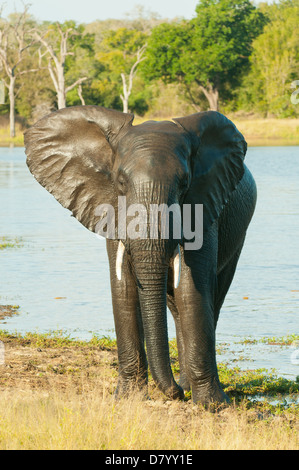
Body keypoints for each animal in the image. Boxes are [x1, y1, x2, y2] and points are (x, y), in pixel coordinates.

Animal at [24, 105, 258, 404]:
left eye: (184, 184)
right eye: (121, 183)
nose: (175, 393)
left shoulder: (205, 206)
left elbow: (192, 288)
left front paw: (212, 405)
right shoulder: (111, 209)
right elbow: (124, 288)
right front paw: (128, 398)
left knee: (212, 299)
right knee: (174, 306)